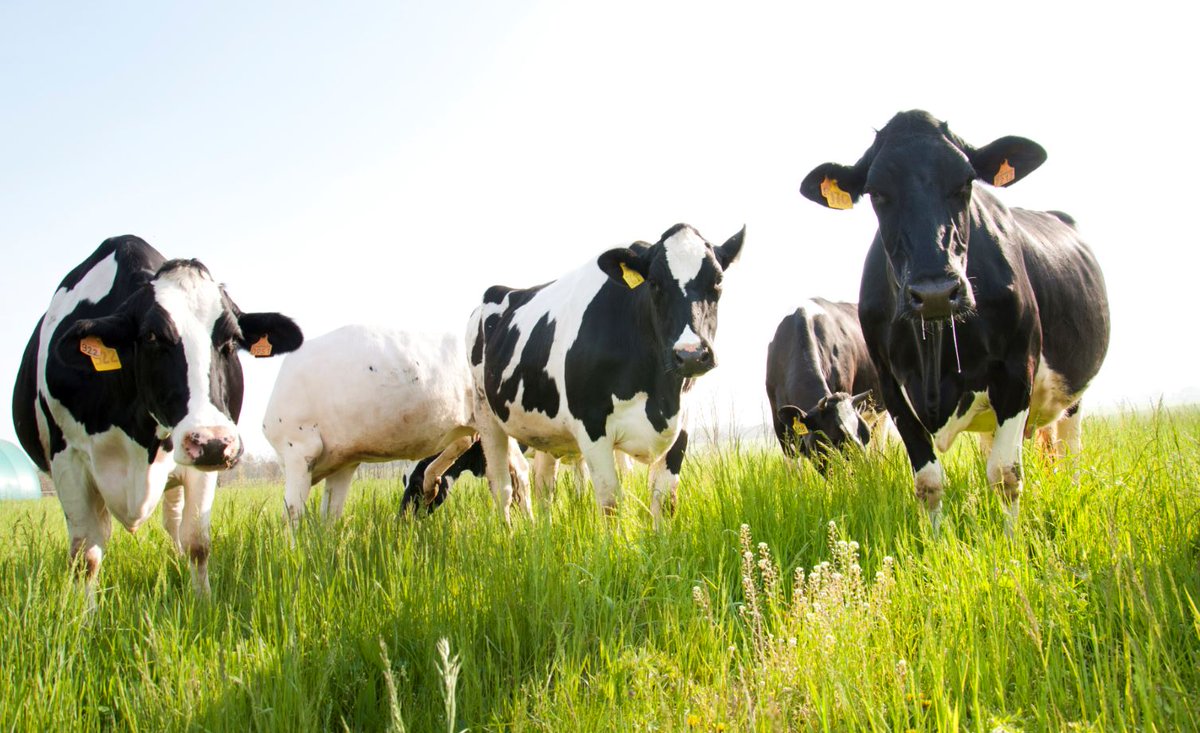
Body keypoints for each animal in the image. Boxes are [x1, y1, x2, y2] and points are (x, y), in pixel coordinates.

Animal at [11, 235, 303, 596]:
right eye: (151, 336)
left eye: (233, 340)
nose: (211, 441)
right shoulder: (68, 460)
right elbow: (85, 556)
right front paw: (84, 612)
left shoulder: (201, 464)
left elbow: (197, 543)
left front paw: (202, 602)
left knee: (173, 523)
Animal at [264, 324, 526, 525]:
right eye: (403, 481)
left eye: (415, 484)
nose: (403, 519)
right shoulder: (343, 464)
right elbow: (329, 519)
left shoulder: (298, 452)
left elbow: (291, 514)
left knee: (513, 477)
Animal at [468, 223, 743, 525]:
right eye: (654, 283)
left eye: (718, 280)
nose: (691, 354)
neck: (659, 394)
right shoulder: (591, 426)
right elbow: (611, 503)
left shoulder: (682, 425)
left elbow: (665, 500)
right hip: (485, 415)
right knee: (502, 486)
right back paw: (509, 533)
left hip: (544, 430)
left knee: (544, 486)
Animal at [800, 110, 1109, 534]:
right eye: (877, 192)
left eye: (965, 181)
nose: (934, 292)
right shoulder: (892, 388)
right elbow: (928, 481)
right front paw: (934, 541)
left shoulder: (1017, 370)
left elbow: (1006, 475)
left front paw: (1010, 542)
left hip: (1070, 399)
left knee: (1068, 453)